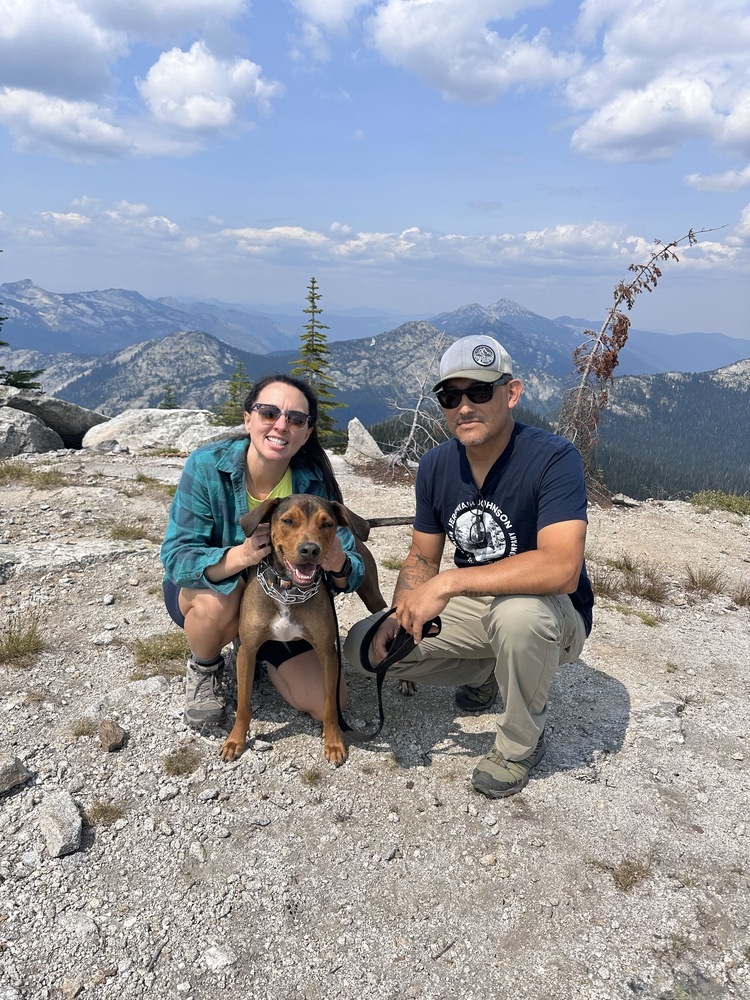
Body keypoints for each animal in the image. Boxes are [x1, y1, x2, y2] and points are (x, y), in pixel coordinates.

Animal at [220, 494, 378, 764]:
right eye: (288, 521)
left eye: (327, 524)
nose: (310, 550)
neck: (287, 590)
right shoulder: (248, 651)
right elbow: (243, 705)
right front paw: (235, 740)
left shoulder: (327, 653)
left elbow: (329, 705)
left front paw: (334, 742)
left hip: (372, 595)